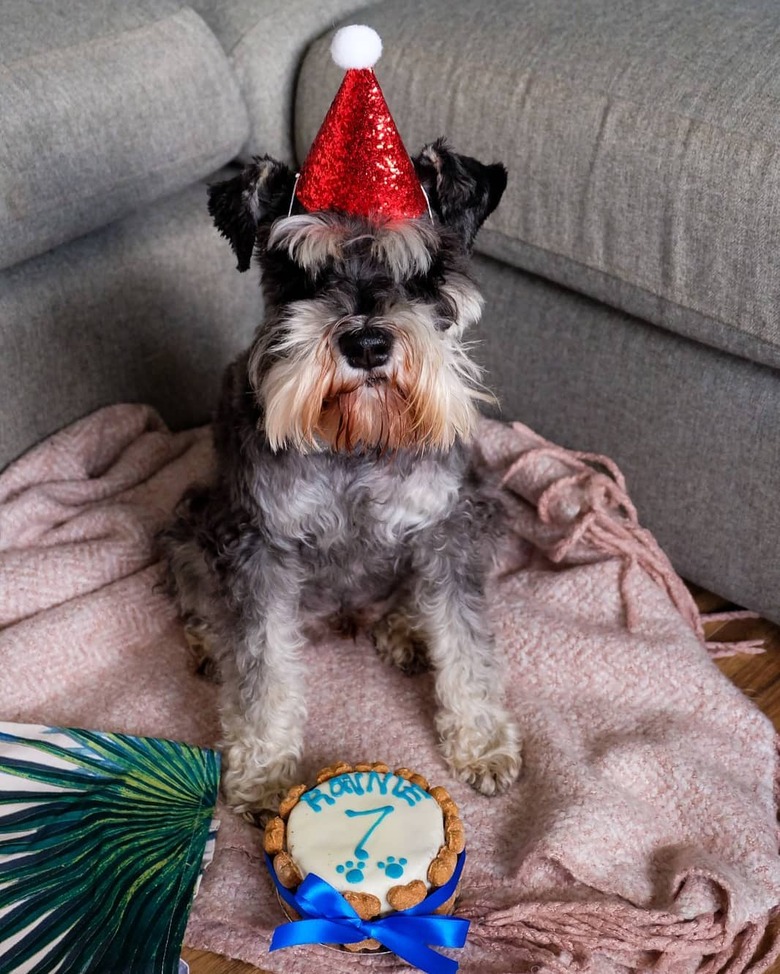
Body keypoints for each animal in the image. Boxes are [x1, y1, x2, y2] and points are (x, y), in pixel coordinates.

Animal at [161, 139, 520, 816]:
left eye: (422, 272)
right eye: (301, 273)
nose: (368, 344)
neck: (357, 438)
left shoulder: (447, 528)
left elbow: (466, 639)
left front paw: (483, 744)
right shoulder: (258, 545)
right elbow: (263, 665)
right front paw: (264, 774)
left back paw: (406, 629)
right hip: (190, 525)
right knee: (197, 596)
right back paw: (210, 646)